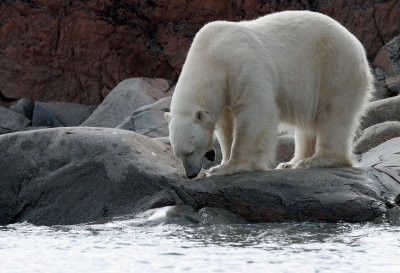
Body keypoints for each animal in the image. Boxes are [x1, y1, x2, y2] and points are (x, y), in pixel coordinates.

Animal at [163, 10, 372, 178]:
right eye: (177, 154)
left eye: (190, 151)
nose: (191, 174)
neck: (211, 54)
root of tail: (357, 45)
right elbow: (225, 125)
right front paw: (222, 162)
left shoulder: (241, 65)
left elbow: (254, 113)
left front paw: (226, 167)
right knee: (308, 125)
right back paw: (291, 163)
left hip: (334, 67)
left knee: (333, 115)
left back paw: (317, 160)